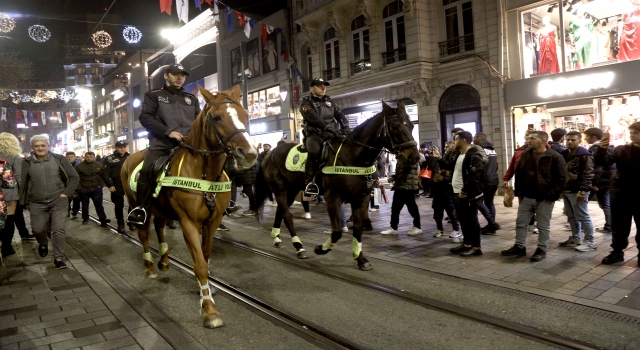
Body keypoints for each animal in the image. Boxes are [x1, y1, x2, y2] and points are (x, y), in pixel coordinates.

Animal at [122, 85, 258, 328]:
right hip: (137, 206)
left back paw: (164, 261)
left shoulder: (213, 222)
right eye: (217, 117)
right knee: (144, 234)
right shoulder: (189, 223)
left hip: (161, 209)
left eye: (245, 114)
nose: (249, 154)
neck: (205, 173)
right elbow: (200, 265)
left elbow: (205, 256)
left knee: (160, 227)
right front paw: (210, 310)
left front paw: (206, 293)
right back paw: (150, 267)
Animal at [255, 101, 420, 270]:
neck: (353, 157)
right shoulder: (333, 197)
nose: (414, 157)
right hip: (280, 188)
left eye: (411, 126)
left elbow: (358, 228)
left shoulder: (362, 198)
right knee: (287, 215)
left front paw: (361, 259)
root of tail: (269, 154)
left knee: (280, 212)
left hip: (291, 189)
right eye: (394, 126)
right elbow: (337, 232)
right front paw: (321, 249)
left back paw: (277, 239)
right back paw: (299, 247)